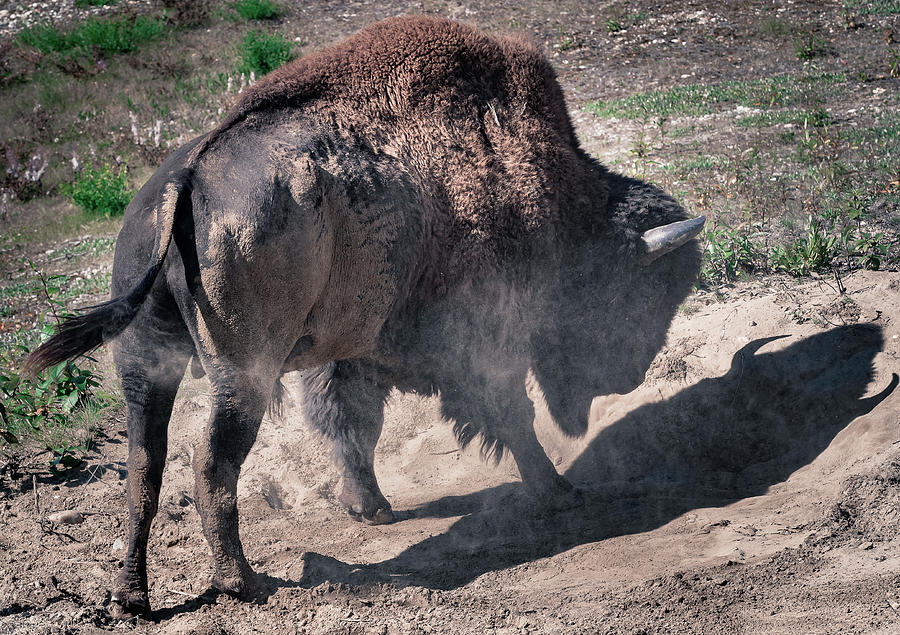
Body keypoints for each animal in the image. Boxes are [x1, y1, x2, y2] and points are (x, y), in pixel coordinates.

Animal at [26, 16, 704, 616]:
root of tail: (185, 178)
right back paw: (243, 584)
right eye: (640, 292)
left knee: (145, 465)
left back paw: (132, 598)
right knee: (211, 464)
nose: (629, 379)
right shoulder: (484, 341)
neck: (551, 196)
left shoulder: (351, 351)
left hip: (146, 365)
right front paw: (560, 493)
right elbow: (510, 415)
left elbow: (352, 424)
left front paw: (369, 507)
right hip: (241, 373)